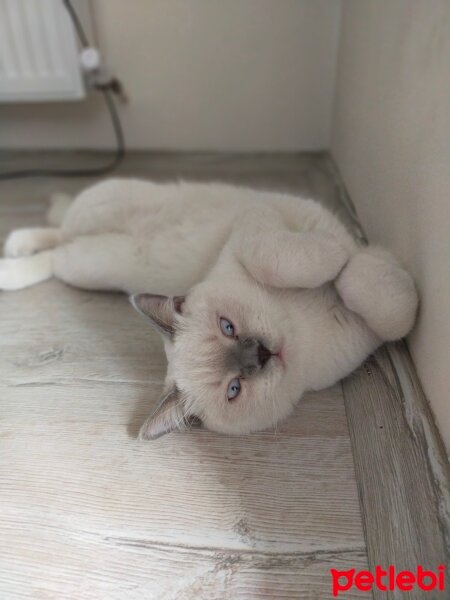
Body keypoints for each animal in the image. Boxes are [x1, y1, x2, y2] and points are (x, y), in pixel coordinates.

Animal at [0, 176, 418, 438]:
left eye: (227, 326)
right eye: (234, 389)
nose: (261, 354)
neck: (298, 323)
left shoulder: (259, 218)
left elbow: (375, 296)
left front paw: (353, 260)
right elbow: (373, 296)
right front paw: (345, 266)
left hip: (101, 213)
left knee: (61, 232)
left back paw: (16, 247)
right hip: (84, 267)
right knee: (56, 251)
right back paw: (12, 264)